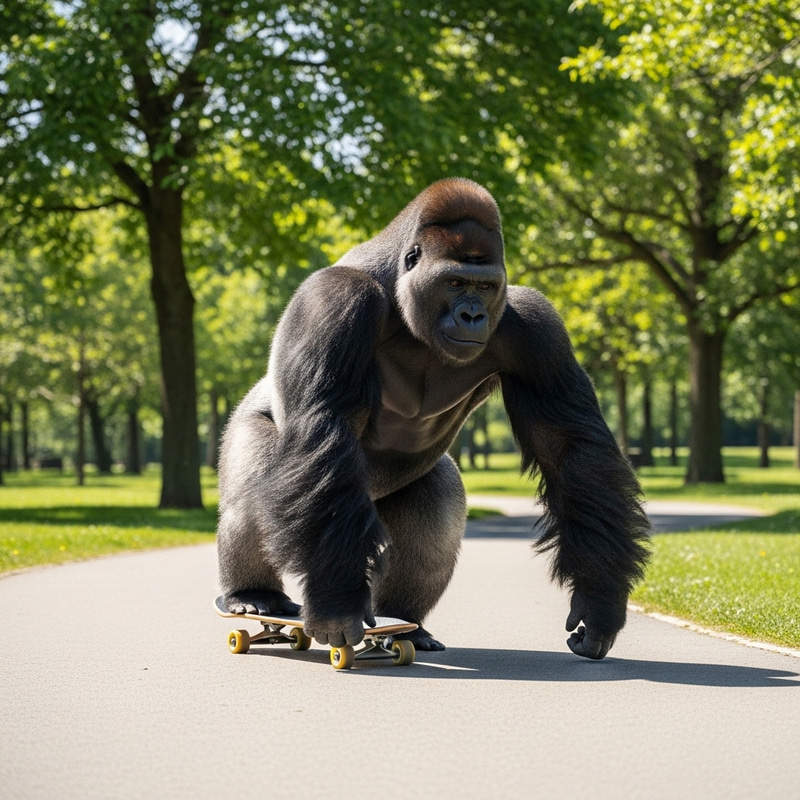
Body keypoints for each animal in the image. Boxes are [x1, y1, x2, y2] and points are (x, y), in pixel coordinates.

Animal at [216, 177, 651, 659]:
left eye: (485, 287)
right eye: (455, 282)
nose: (473, 315)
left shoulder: (538, 326)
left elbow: (569, 448)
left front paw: (599, 599)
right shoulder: (331, 300)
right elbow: (321, 430)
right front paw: (335, 602)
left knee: (435, 514)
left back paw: (404, 624)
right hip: (249, 426)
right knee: (257, 485)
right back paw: (257, 598)